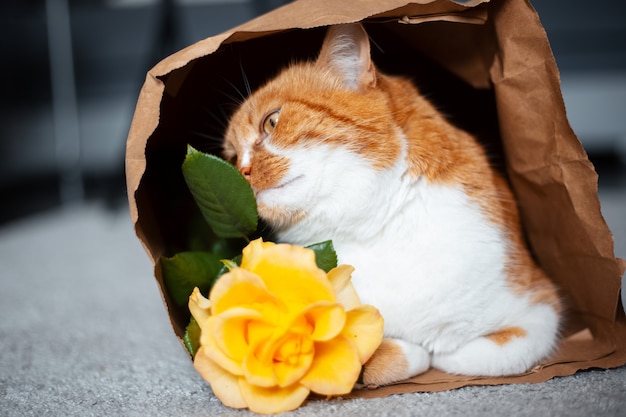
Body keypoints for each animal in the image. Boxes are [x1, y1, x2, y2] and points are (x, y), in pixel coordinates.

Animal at [221, 22, 560, 386]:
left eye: (271, 122)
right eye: (230, 158)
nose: (242, 173)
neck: (373, 228)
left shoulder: (542, 306)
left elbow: (479, 354)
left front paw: (443, 349)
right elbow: (373, 358)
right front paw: (417, 351)